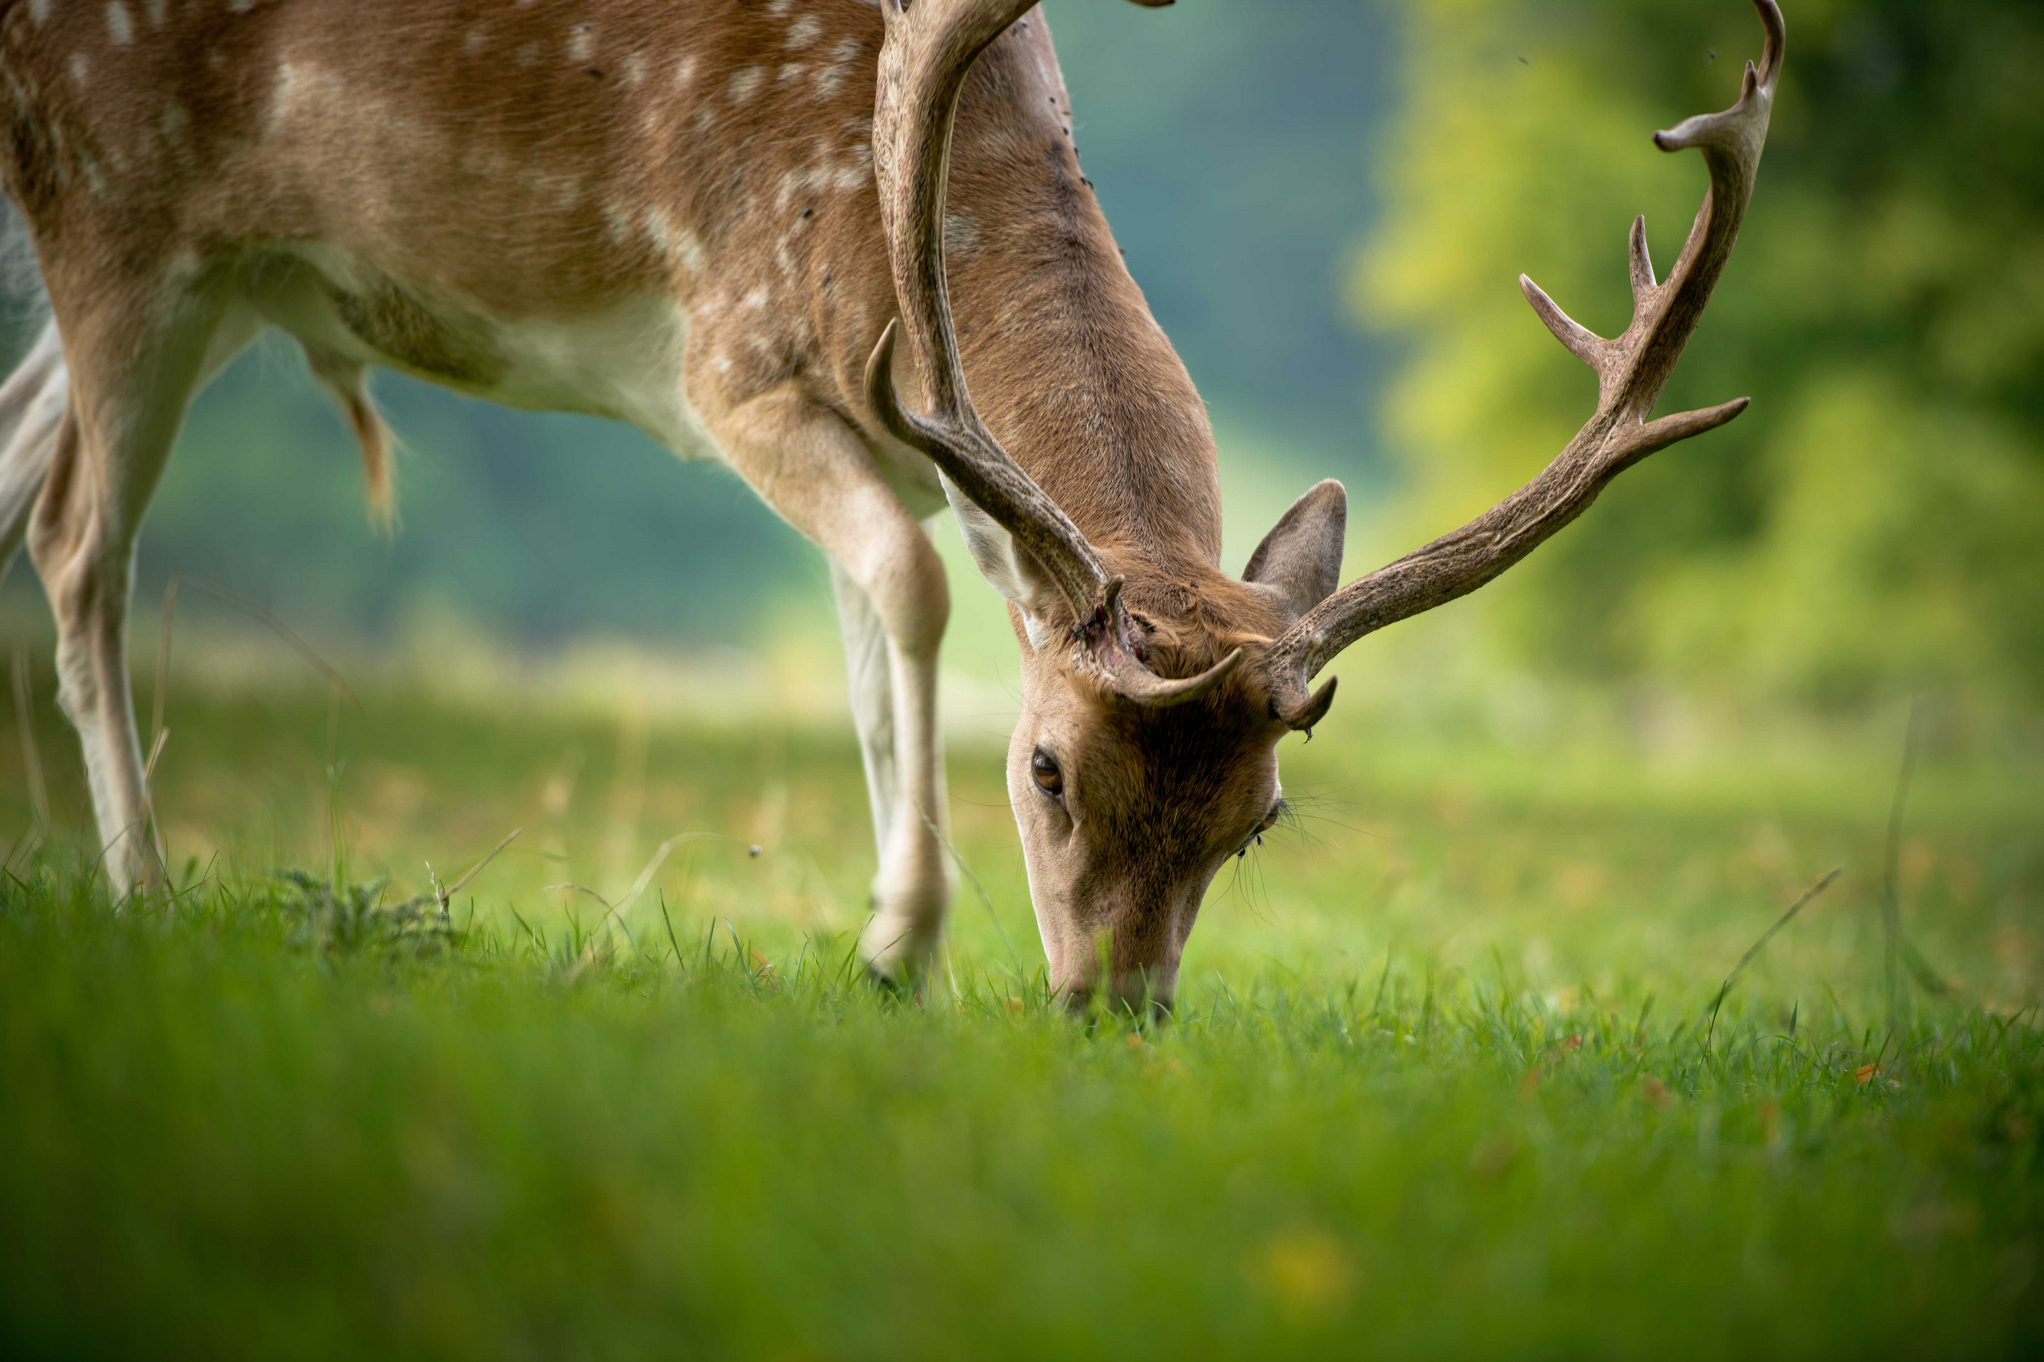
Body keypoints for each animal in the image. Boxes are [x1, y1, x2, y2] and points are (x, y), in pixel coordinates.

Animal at [0, 0, 1774, 1006]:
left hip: (215, 275)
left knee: (27, 468)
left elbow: (866, 649)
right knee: (82, 536)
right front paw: (903, 943)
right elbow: (911, 605)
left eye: (1260, 820)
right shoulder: (730, 357)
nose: (1116, 1010)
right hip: (116, 203)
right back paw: (144, 886)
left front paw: (879, 935)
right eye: (1046, 770)